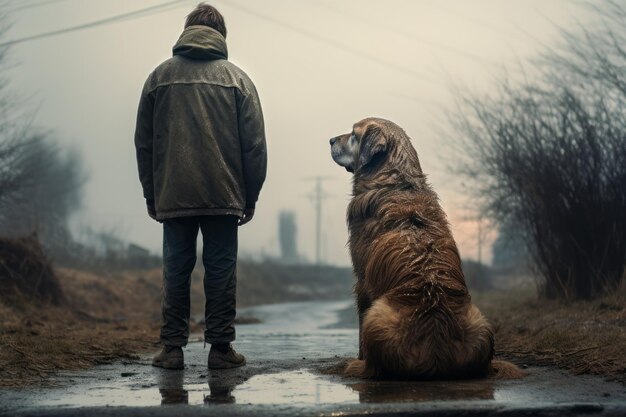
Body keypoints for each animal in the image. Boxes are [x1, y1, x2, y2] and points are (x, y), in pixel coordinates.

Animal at [330, 118, 520, 380]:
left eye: (353, 135)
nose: (330, 140)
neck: (397, 183)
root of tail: (435, 349)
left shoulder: (362, 281)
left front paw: (359, 358)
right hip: (480, 320)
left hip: (377, 313)